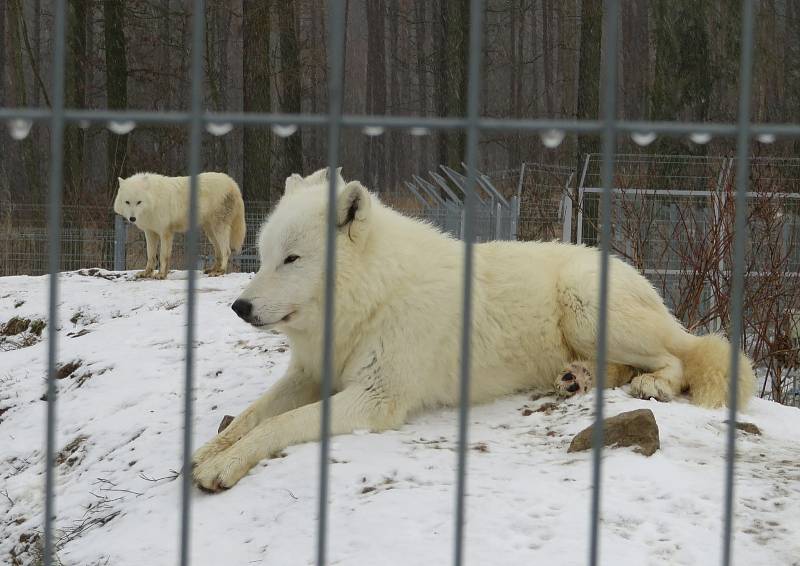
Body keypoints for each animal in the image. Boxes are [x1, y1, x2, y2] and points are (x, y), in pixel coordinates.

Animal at [111, 173, 244, 280]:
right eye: (127, 202)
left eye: (139, 202)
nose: (132, 218)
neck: (154, 200)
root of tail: (233, 183)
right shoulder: (150, 232)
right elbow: (151, 256)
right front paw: (146, 273)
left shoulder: (166, 232)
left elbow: (163, 256)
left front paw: (161, 274)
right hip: (211, 232)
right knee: (219, 252)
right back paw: (213, 269)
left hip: (219, 229)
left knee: (226, 251)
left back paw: (220, 271)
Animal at [191, 168, 752, 492]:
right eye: (263, 256)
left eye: (292, 260)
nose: (239, 306)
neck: (371, 298)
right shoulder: (309, 374)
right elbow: (251, 416)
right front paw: (206, 453)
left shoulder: (374, 398)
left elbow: (278, 425)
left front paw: (222, 467)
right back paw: (577, 379)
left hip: (586, 306)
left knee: (677, 357)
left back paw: (651, 384)